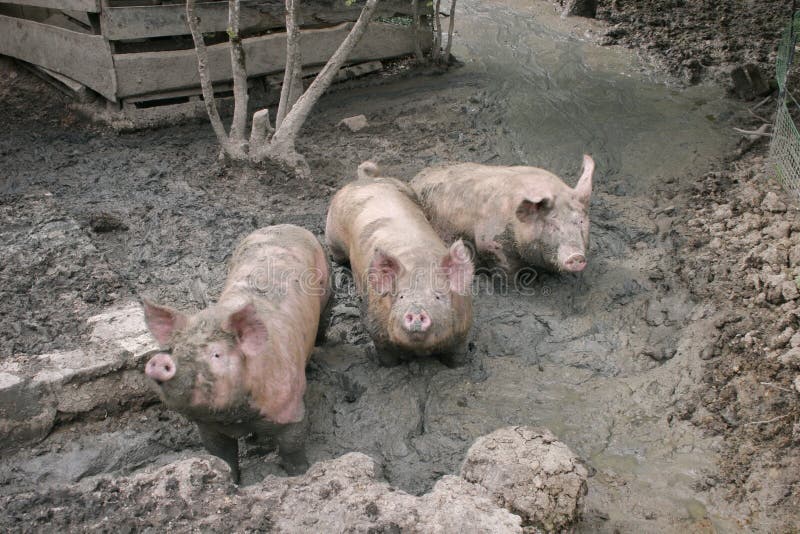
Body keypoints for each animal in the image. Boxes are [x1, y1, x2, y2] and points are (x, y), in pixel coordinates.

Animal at [141, 224, 330, 483]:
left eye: (217, 355)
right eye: (175, 350)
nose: (160, 361)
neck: (236, 417)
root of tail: (284, 225)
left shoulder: (290, 404)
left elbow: (292, 444)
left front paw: (301, 473)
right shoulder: (208, 426)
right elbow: (221, 454)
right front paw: (231, 480)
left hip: (327, 285)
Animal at [325, 161, 474, 367]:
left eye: (437, 296)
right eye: (401, 296)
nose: (417, 311)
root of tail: (364, 179)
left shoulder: (464, 325)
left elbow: (458, 353)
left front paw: (457, 366)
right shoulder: (375, 325)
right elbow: (386, 355)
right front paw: (389, 366)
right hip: (333, 234)